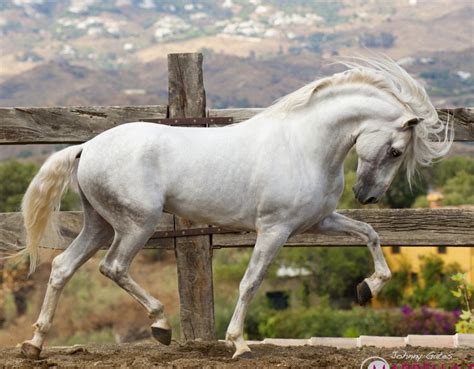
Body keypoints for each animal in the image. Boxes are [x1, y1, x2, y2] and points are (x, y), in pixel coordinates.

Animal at [16, 56, 450, 358]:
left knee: (62, 267)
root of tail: (86, 147)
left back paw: (35, 345)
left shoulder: (319, 222)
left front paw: (367, 287)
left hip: (100, 224)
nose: (367, 196)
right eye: (396, 151)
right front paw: (239, 344)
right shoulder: (274, 229)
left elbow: (370, 234)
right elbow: (251, 282)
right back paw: (161, 325)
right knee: (113, 267)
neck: (306, 146)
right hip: (137, 224)